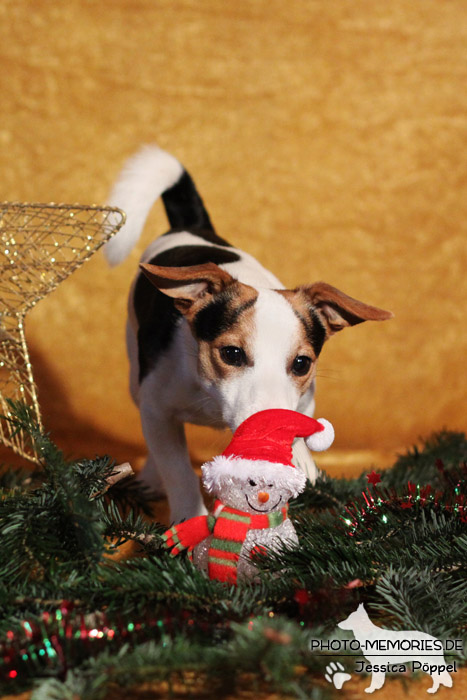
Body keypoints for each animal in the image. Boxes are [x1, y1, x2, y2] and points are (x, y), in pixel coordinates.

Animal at [104, 145, 394, 524]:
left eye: (301, 364)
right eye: (231, 354)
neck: (210, 396)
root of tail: (193, 227)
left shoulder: (306, 394)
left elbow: (302, 418)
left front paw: (300, 461)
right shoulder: (156, 408)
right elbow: (177, 469)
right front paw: (188, 515)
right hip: (135, 373)